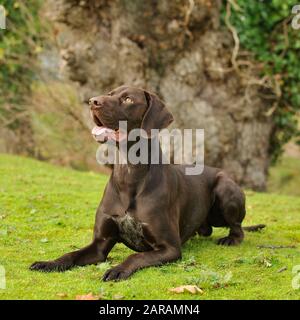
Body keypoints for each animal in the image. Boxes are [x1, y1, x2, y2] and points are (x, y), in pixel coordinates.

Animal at [30, 85, 264, 280]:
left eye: (127, 99)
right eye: (109, 92)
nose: (92, 101)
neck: (128, 172)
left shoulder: (169, 248)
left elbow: (135, 257)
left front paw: (118, 269)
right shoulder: (99, 245)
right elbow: (71, 254)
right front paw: (49, 263)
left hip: (226, 187)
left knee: (238, 227)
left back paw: (230, 238)